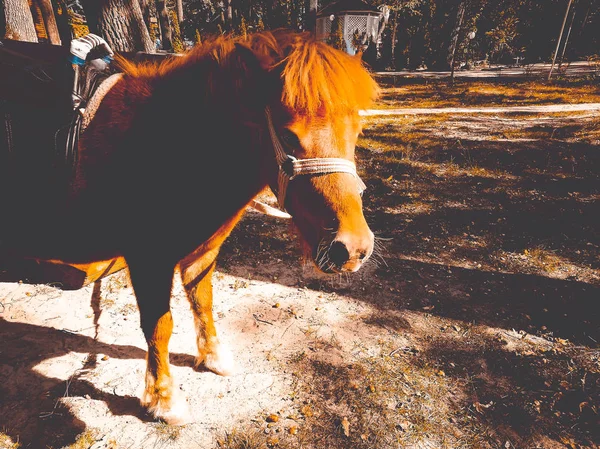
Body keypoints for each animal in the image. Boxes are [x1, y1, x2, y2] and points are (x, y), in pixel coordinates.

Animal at [0, 28, 380, 424]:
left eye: (358, 130)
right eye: (289, 136)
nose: (352, 248)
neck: (169, 150)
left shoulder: (203, 252)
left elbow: (203, 302)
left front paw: (212, 356)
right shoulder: (147, 259)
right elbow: (159, 326)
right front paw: (162, 398)